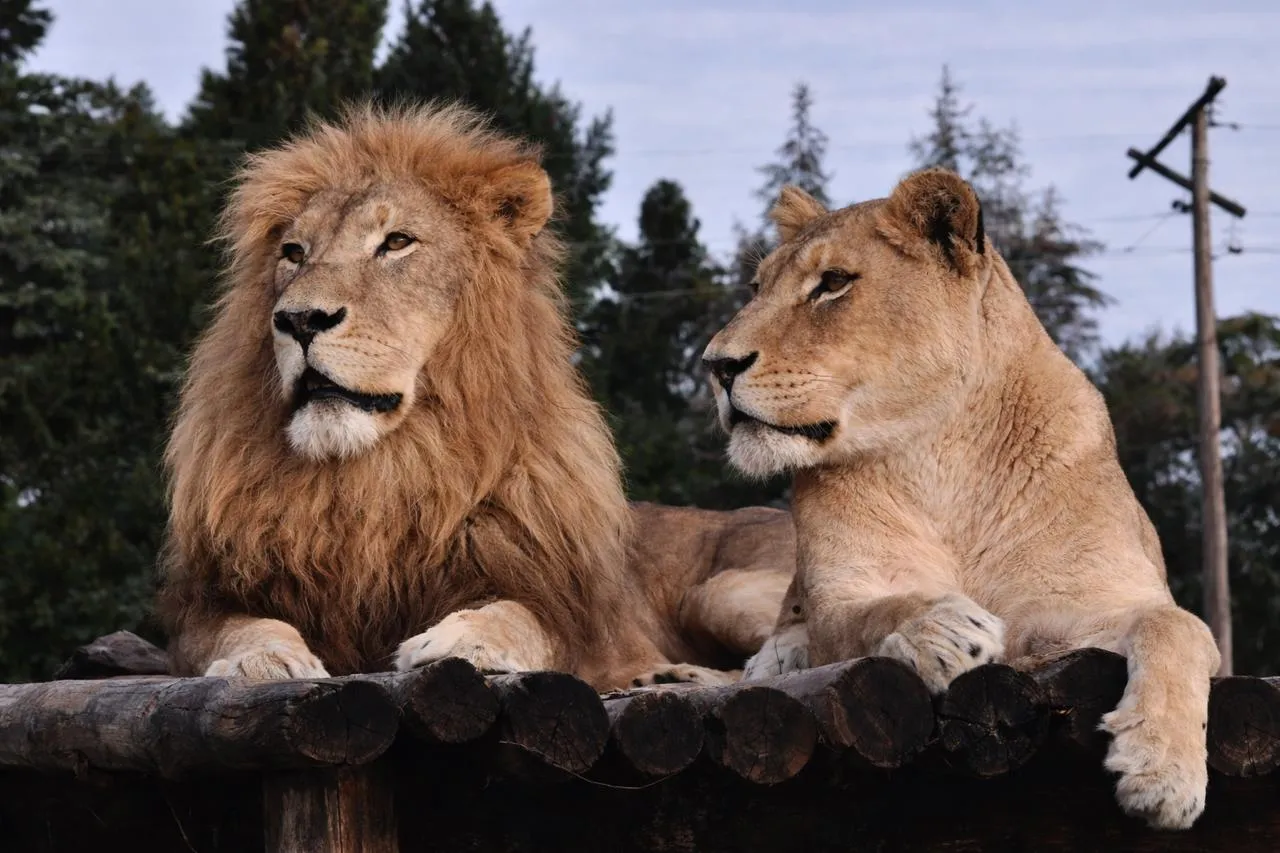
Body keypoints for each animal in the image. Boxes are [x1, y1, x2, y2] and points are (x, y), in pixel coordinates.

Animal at [156, 102, 794, 693]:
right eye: (293, 252)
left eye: (397, 242)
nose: (299, 319)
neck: (377, 475)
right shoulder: (204, 605)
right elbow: (238, 628)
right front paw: (263, 656)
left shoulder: (568, 612)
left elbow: (520, 615)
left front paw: (462, 639)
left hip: (723, 591)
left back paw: (676, 674)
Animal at [701, 168, 1220, 830]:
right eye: (756, 288)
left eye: (833, 283)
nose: (716, 365)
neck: (942, 453)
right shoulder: (846, 594)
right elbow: (868, 615)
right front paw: (944, 628)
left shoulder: (1085, 611)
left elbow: (1177, 624)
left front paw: (1163, 774)